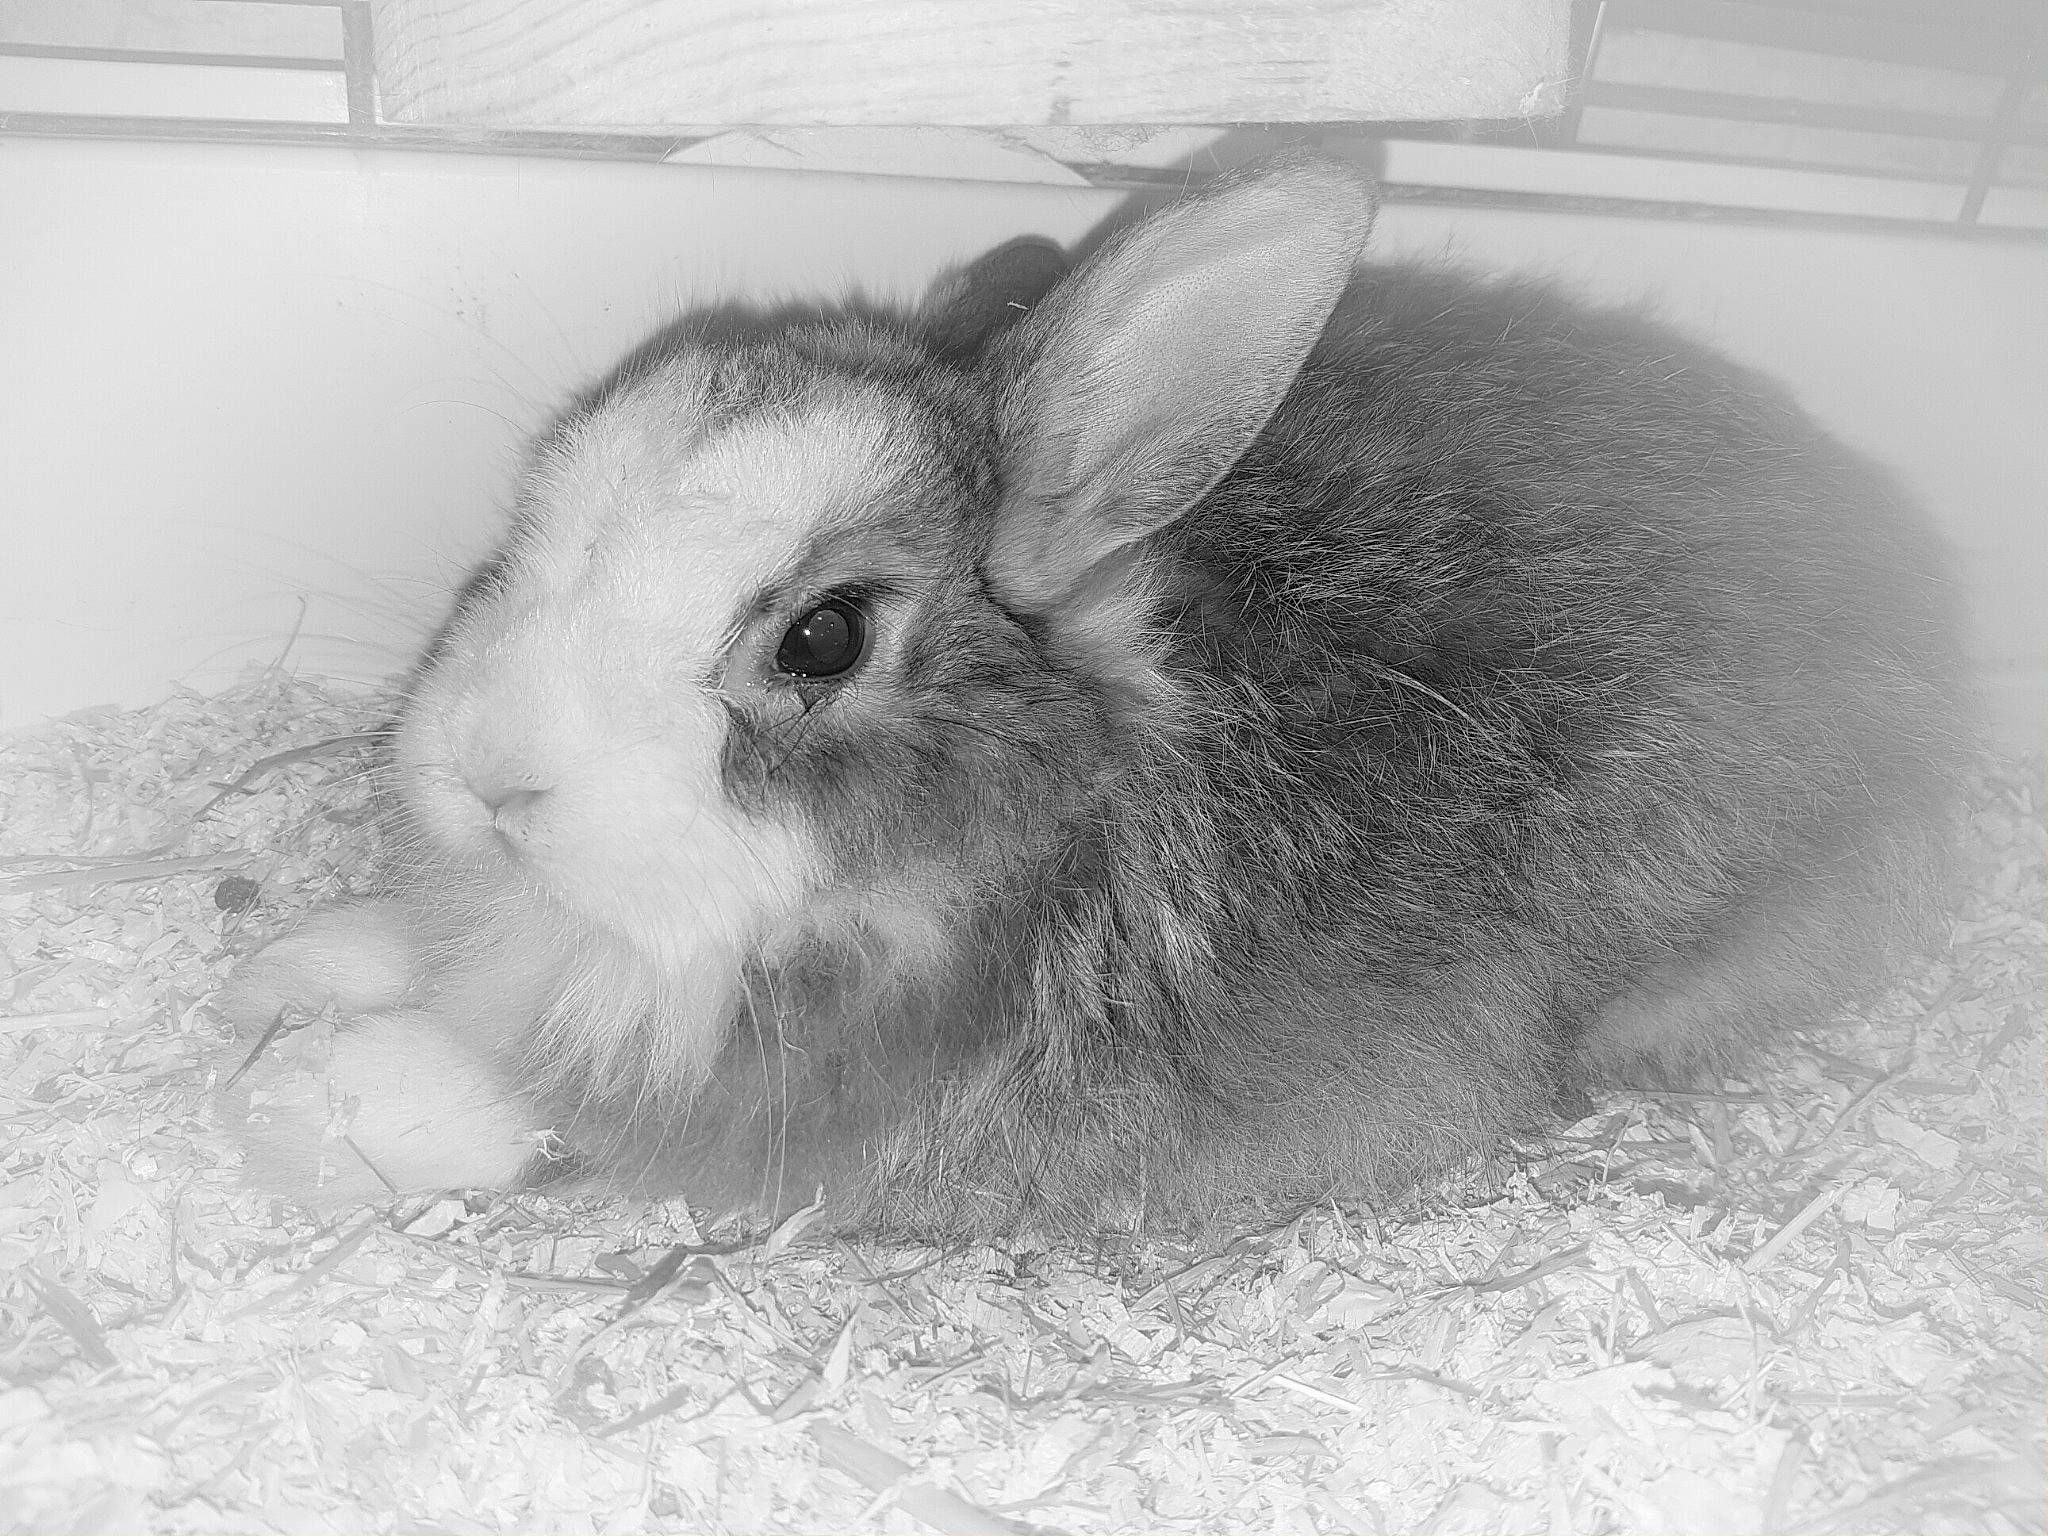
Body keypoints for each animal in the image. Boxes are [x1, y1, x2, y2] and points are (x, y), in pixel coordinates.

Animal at [213, 155, 1973, 1239]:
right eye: (537, 504)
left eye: (822, 640)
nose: (484, 776)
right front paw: (283, 975)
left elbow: (526, 1107)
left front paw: (301, 1102)